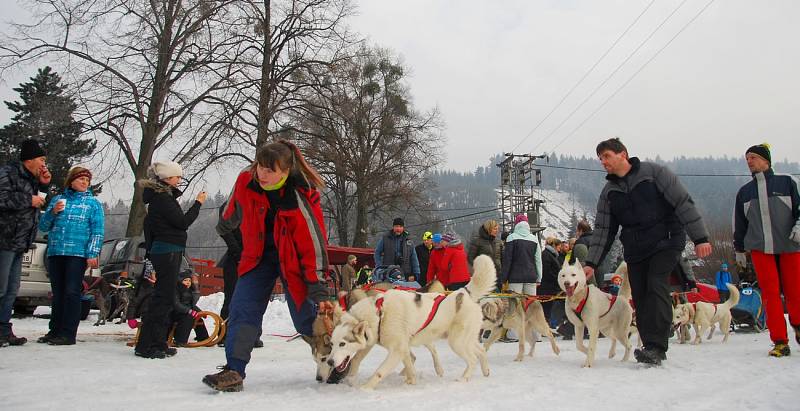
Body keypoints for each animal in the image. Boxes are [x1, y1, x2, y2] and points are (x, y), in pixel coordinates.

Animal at [328, 256, 496, 392]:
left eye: (342, 344)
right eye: (332, 344)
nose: (329, 361)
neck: (379, 313)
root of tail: (462, 293)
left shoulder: (396, 350)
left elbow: (380, 371)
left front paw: (365, 388)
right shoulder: (399, 347)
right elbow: (408, 364)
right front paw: (411, 380)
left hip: (457, 342)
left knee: (472, 359)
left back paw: (463, 378)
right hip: (464, 340)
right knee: (481, 351)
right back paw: (486, 371)